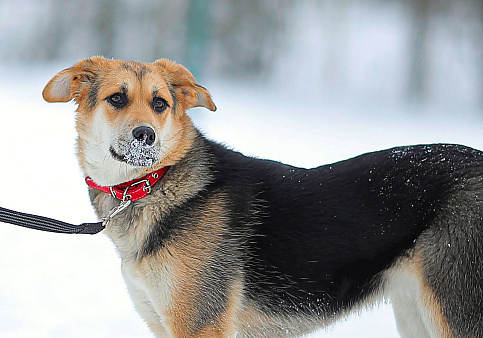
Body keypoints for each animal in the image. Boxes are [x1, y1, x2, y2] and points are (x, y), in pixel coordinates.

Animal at [43, 56, 482, 336]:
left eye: (160, 103)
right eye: (116, 98)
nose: (145, 136)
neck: (153, 183)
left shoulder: (200, 324)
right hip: (416, 313)